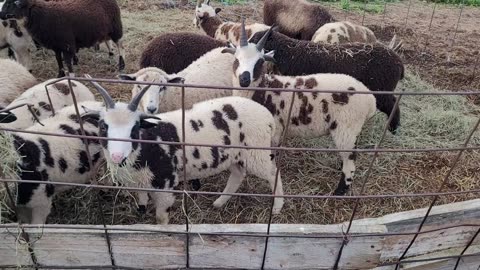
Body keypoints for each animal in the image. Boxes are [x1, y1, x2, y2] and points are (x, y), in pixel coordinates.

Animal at [81, 77, 284, 224]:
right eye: (103, 126)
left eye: (135, 128)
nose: (116, 156)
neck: (144, 146)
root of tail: (267, 116)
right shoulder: (139, 181)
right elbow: (141, 198)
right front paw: (141, 209)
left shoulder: (165, 185)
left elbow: (161, 217)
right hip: (235, 155)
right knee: (237, 175)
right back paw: (219, 202)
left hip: (257, 152)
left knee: (273, 173)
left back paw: (278, 206)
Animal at [223, 24, 376, 195]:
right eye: (236, 59)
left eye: (259, 62)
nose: (244, 79)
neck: (262, 90)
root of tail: (370, 99)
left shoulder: (274, 133)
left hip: (346, 128)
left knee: (350, 163)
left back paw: (339, 191)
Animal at [249, 28, 404, 133]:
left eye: (256, 40)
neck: (289, 52)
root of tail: (399, 62)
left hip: (381, 90)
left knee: (393, 104)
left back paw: (393, 128)